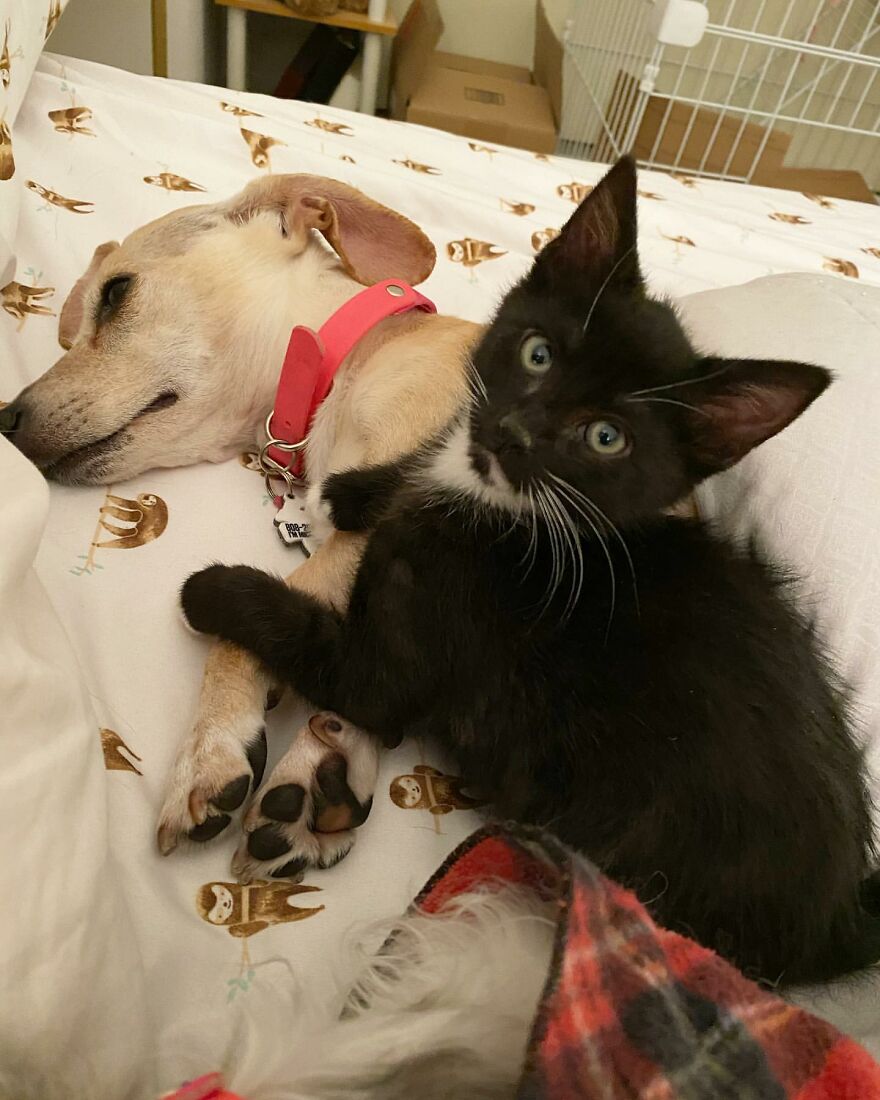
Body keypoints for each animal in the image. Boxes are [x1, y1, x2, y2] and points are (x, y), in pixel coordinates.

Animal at [3, 176, 477, 880]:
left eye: (115, 294)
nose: (4, 420)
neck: (341, 361)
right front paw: (327, 773)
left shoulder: (396, 515)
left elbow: (246, 636)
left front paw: (211, 748)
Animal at [182, 157, 875, 990]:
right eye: (537, 353)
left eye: (606, 437)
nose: (513, 434)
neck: (527, 517)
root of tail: (841, 922)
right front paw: (350, 492)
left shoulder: (410, 653)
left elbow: (333, 653)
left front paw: (211, 587)